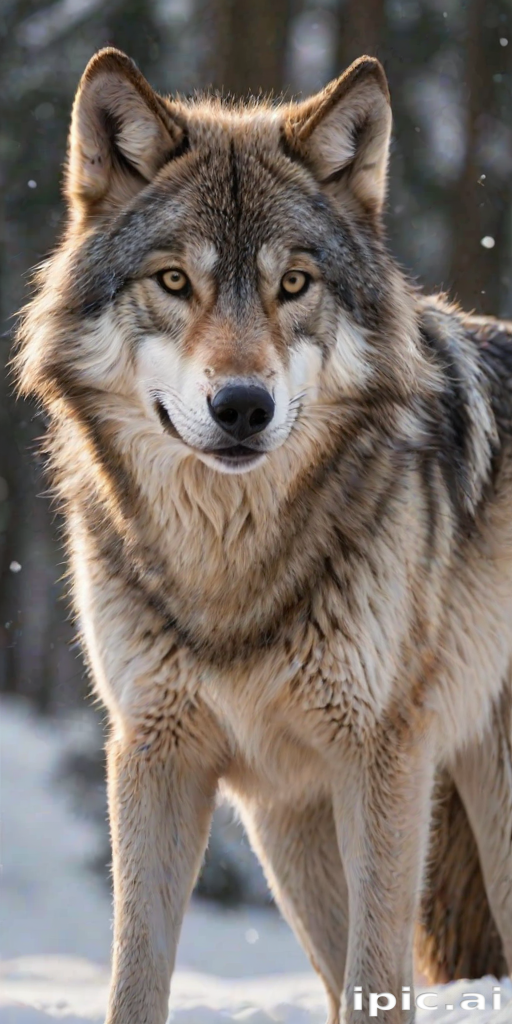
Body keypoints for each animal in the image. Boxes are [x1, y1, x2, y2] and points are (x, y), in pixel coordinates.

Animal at [16, 47, 512, 1023]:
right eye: (176, 281)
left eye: (293, 284)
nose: (242, 406)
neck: (230, 574)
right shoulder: (154, 752)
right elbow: (135, 977)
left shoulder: (383, 757)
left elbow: (376, 974)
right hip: (292, 832)